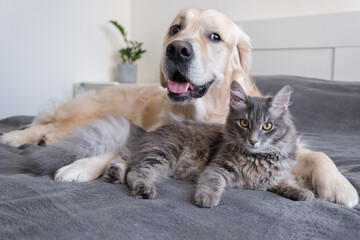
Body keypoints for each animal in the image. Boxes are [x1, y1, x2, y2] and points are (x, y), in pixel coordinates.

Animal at [102, 80, 314, 206]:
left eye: (267, 126)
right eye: (244, 123)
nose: (253, 141)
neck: (256, 159)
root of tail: (151, 132)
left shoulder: (274, 177)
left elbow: (287, 182)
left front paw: (303, 193)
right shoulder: (217, 168)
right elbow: (212, 183)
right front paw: (206, 199)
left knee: (124, 157)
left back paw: (114, 174)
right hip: (164, 152)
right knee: (136, 171)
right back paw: (143, 188)